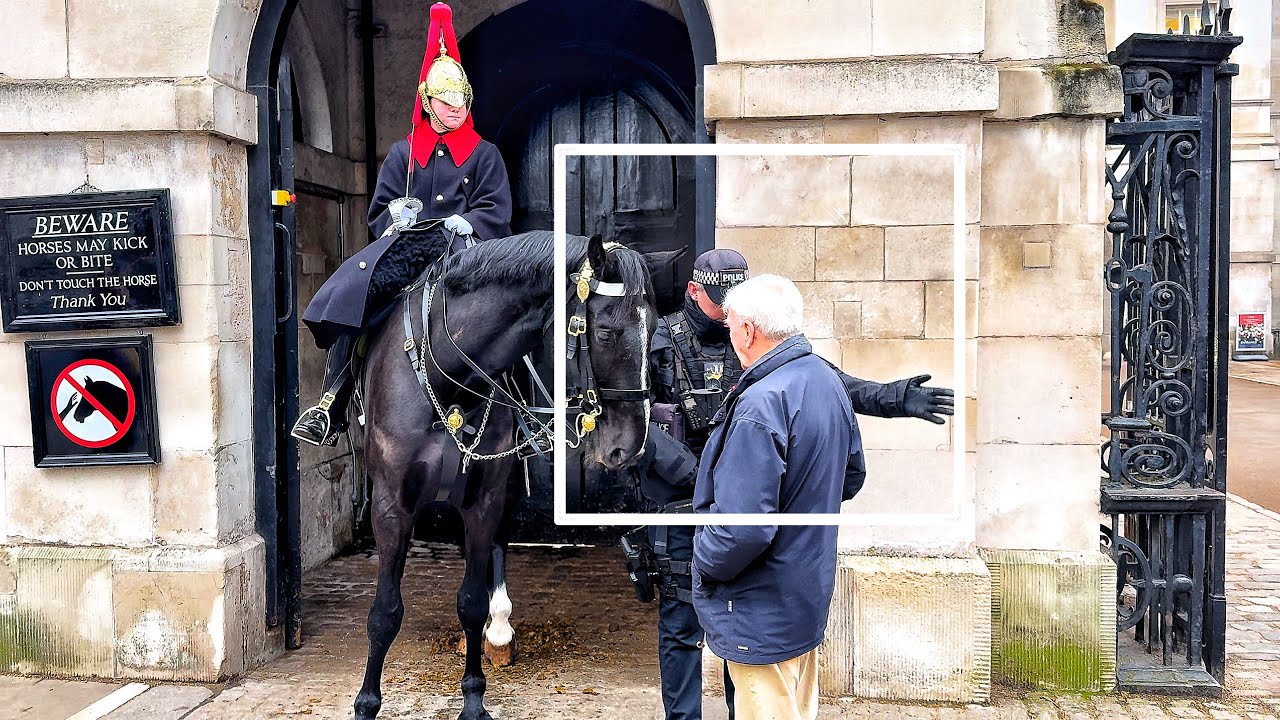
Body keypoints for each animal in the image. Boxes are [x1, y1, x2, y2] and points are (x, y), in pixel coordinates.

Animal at [352, 228, 660, 720]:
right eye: (606, 332)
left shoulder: (485, 498)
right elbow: (384, 613)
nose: (629, 446)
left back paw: (499, 630)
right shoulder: (391, 507)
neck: (450, 379)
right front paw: (366, 703)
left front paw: (474, 698)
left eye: (656, 329)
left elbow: (472, 601)